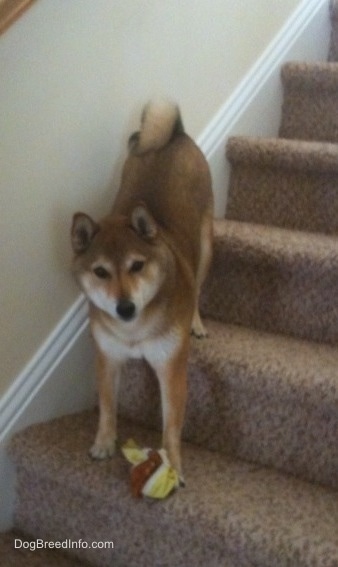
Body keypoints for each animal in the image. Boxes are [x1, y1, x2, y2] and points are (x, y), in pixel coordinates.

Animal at [71, 100, 214, 482]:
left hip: (206, 244)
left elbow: (171, 424)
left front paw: (173, 464)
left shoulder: (171, 367)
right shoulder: (107, 358)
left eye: (137, 265)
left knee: (198, 287)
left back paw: (196, 322)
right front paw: (104, 443)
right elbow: (107, 406)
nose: (125, 307)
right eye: (101, 272)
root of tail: (174, 134)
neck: (134, 331)